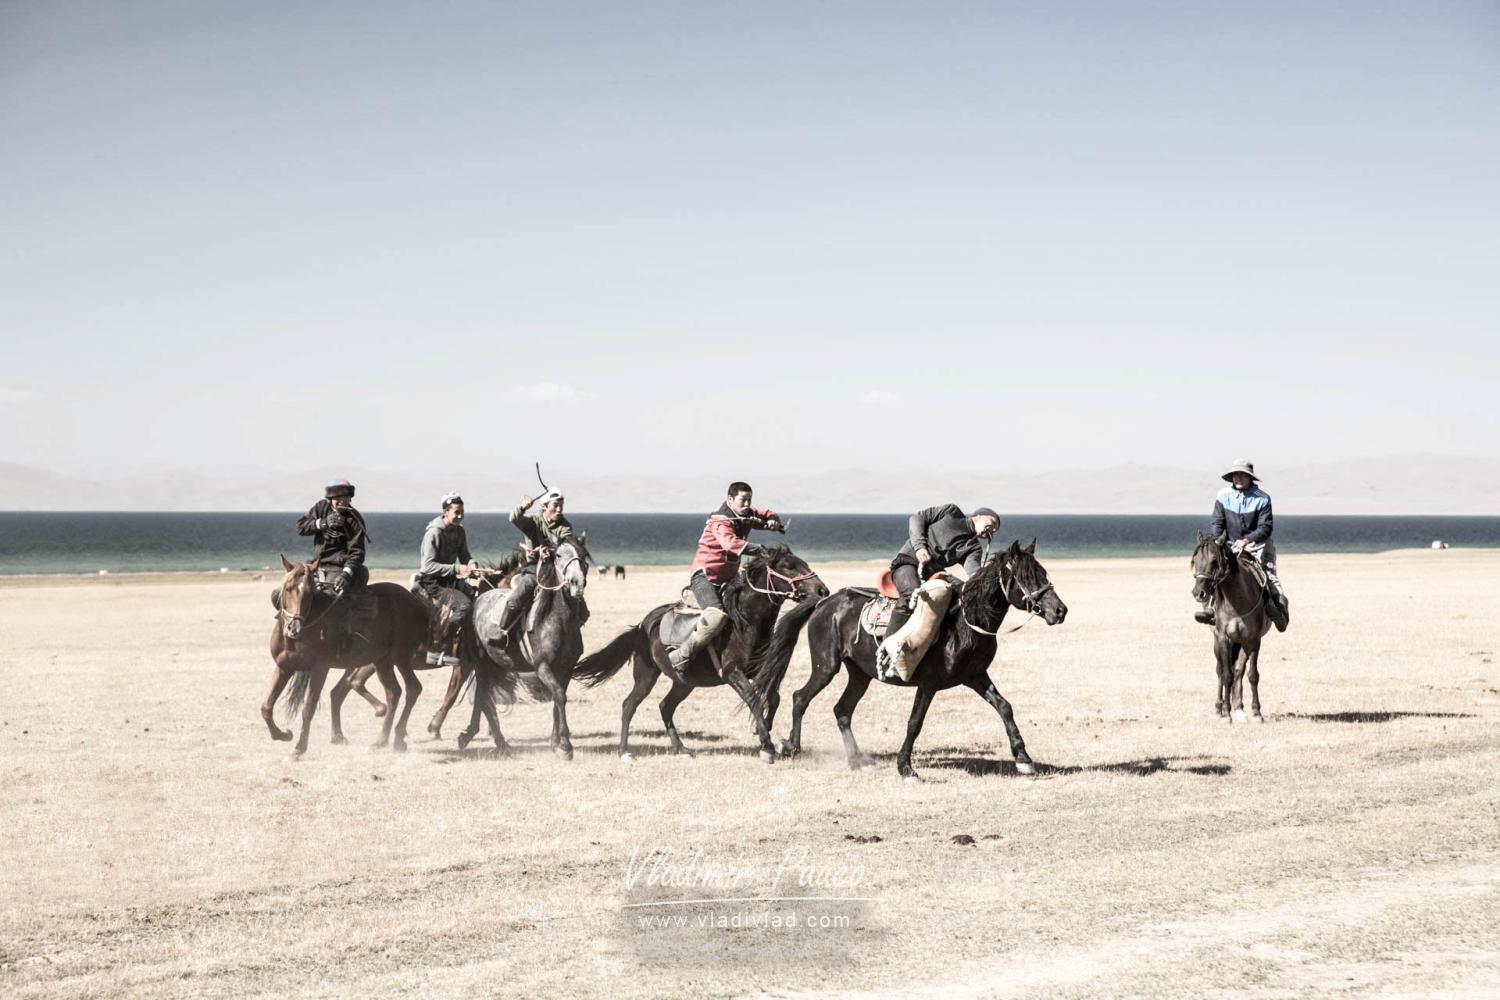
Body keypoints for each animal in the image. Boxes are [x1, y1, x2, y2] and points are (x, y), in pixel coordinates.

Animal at [258, 554, 432, 758]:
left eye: (309, 592)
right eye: (288, 588)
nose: (294, 628)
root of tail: (417, 604)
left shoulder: (320, 668)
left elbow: (308, 708)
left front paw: (299, 748)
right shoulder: (283, 667)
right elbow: (266, 707)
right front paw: (283, 735)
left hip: (401, 656)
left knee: (412, 688)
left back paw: (396, 738)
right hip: (382, 660)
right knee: (393, 692)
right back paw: (381, 741)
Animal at [459, 539, 594, 758]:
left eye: (582, 554)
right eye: (558, 555)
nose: (577, 582)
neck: (557, 621)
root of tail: (477, 601)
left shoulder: (566, 669)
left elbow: (557, 700)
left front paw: (555, 743)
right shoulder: (543, 667)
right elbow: (559, 696)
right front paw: (566, 745)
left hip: (497, 666)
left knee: (483, 698)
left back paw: (486, 739)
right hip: (482, 665)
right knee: (483, 698)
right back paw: (486, 739)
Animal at [573, 542, 834, 761]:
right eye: (789, 566)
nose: (822, 590)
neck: (745, 624)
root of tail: (642, 625)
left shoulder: (758, 670)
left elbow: (774, 697)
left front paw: (769, 732)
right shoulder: (732, 673)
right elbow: (753, 699)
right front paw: (767, 746)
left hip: (684, 682)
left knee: (665, 706)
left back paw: (681, 749)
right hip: (646, 675)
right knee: (629, 705)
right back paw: (624, 752)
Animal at [762, 539, 1068, 779]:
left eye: (1043, 572)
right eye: (1026, 576)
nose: (1060, 610)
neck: (964, 623)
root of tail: (824, 602)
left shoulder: (975, 676)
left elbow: (1005, 707)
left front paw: (1024, 759)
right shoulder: (929, 683)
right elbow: (915, 722)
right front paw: (906, 768)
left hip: (860, 674)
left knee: (842, 710)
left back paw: (857, 760)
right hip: (826, 666)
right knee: (800, 698)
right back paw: (791, 747)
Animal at [1188, 527, 1272, 722]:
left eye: (1213, 561)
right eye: (1195, 561)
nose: (1198, 593)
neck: (1236, 602)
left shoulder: (1253, 640)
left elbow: (1251, 674)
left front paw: (1256, 712)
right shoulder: (1224, 638)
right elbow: (1226, 675)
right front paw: (1226, 714)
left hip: (1241, 642)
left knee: (1239, 670)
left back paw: (1239, 708)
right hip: (1219, 642)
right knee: (1221, 671)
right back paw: (1220, 708)